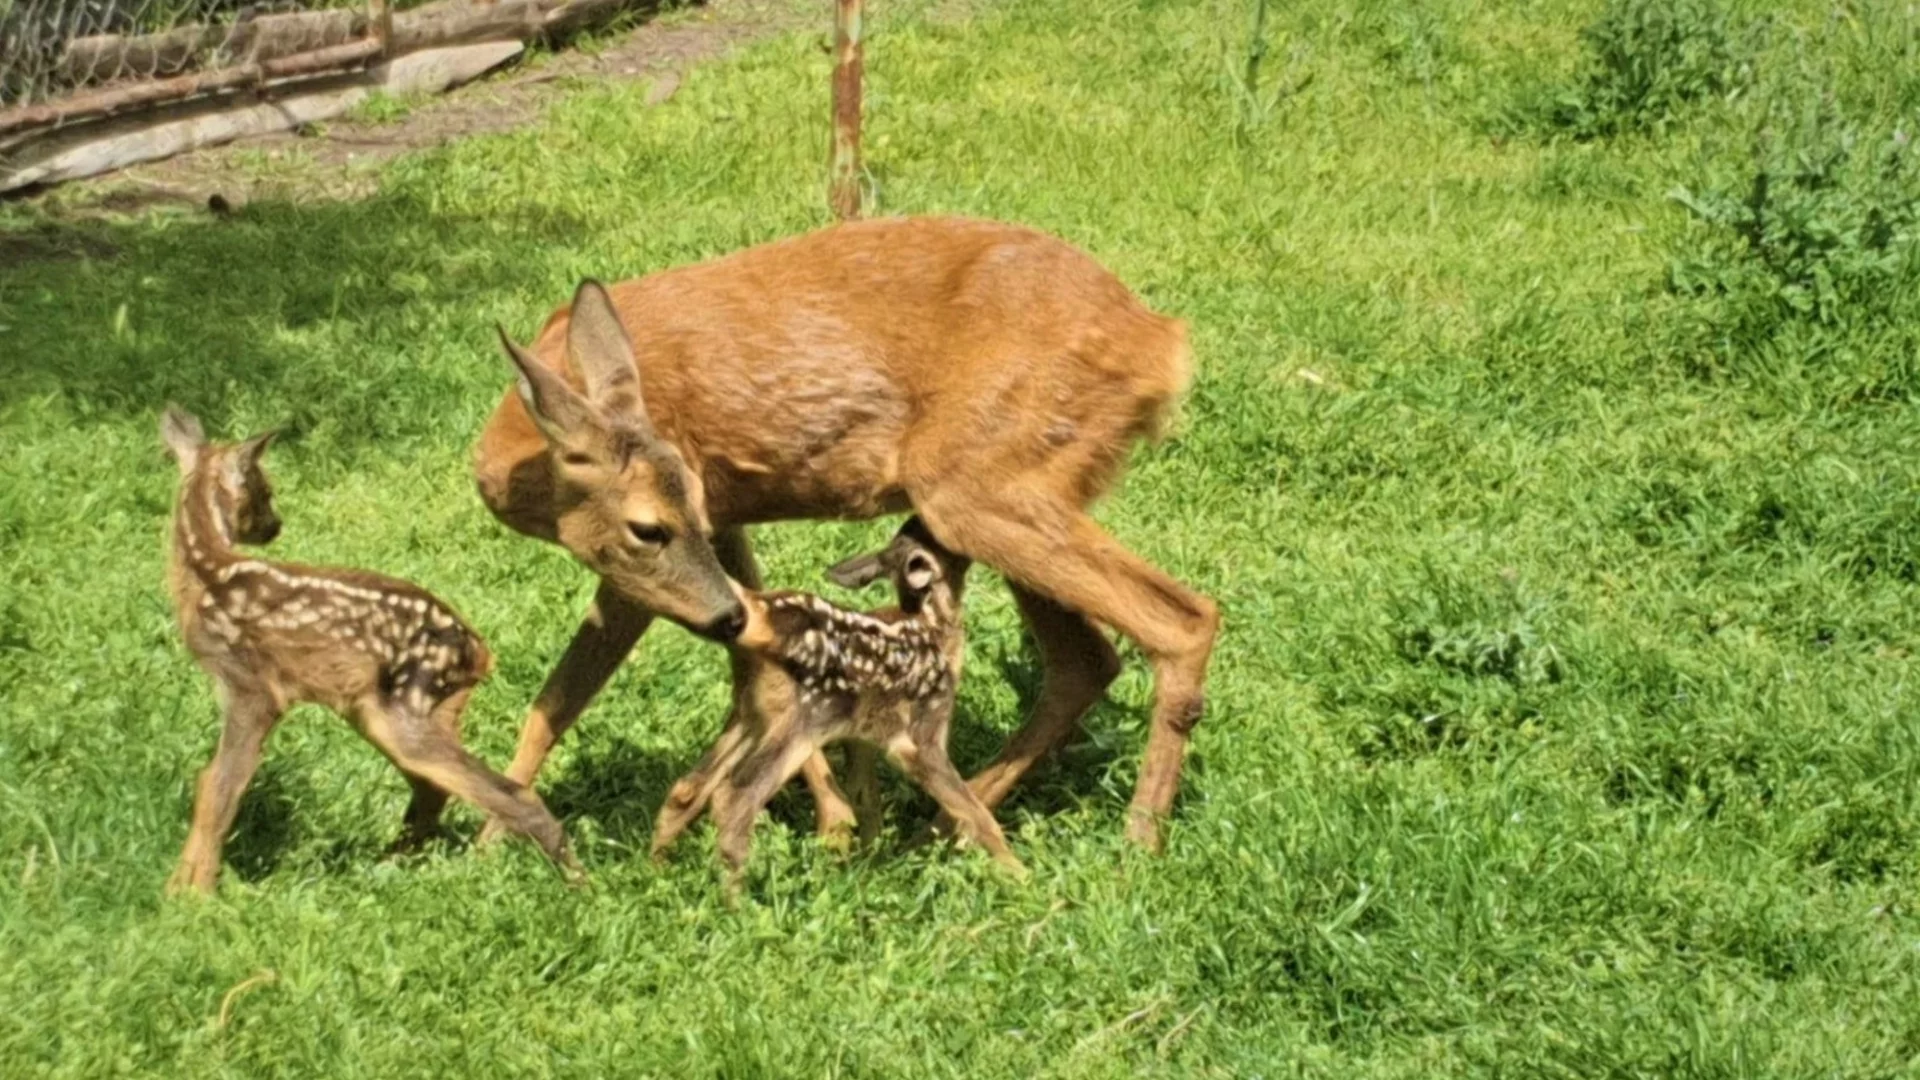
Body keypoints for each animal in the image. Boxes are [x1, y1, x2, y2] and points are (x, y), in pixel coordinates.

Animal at [158, 403, 579, 891]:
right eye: (267, 492)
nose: (275, 526)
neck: (205, 572)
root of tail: (480, 652)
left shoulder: (253, 686)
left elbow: (220, 786)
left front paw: (192, 893)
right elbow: (214, 783)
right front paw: (183, 887)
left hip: (404, 704)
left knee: (497, 790)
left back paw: (573, 878)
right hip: (400, 707)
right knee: (434, 788)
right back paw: (393, 862)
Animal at [470, 212, 1213, 849]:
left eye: (647, 528)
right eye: (663, 519)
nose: (720, 616)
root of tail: (1161, 344)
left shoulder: (655, 559)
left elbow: (560, 699)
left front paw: (492, 840)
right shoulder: (725, 522)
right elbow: (746, 658)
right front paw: (834, 815)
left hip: (977, 486)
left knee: (1182, 620)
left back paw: (1136, 842)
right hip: (1014, 490)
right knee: (1086, 660)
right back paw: (944, 825)